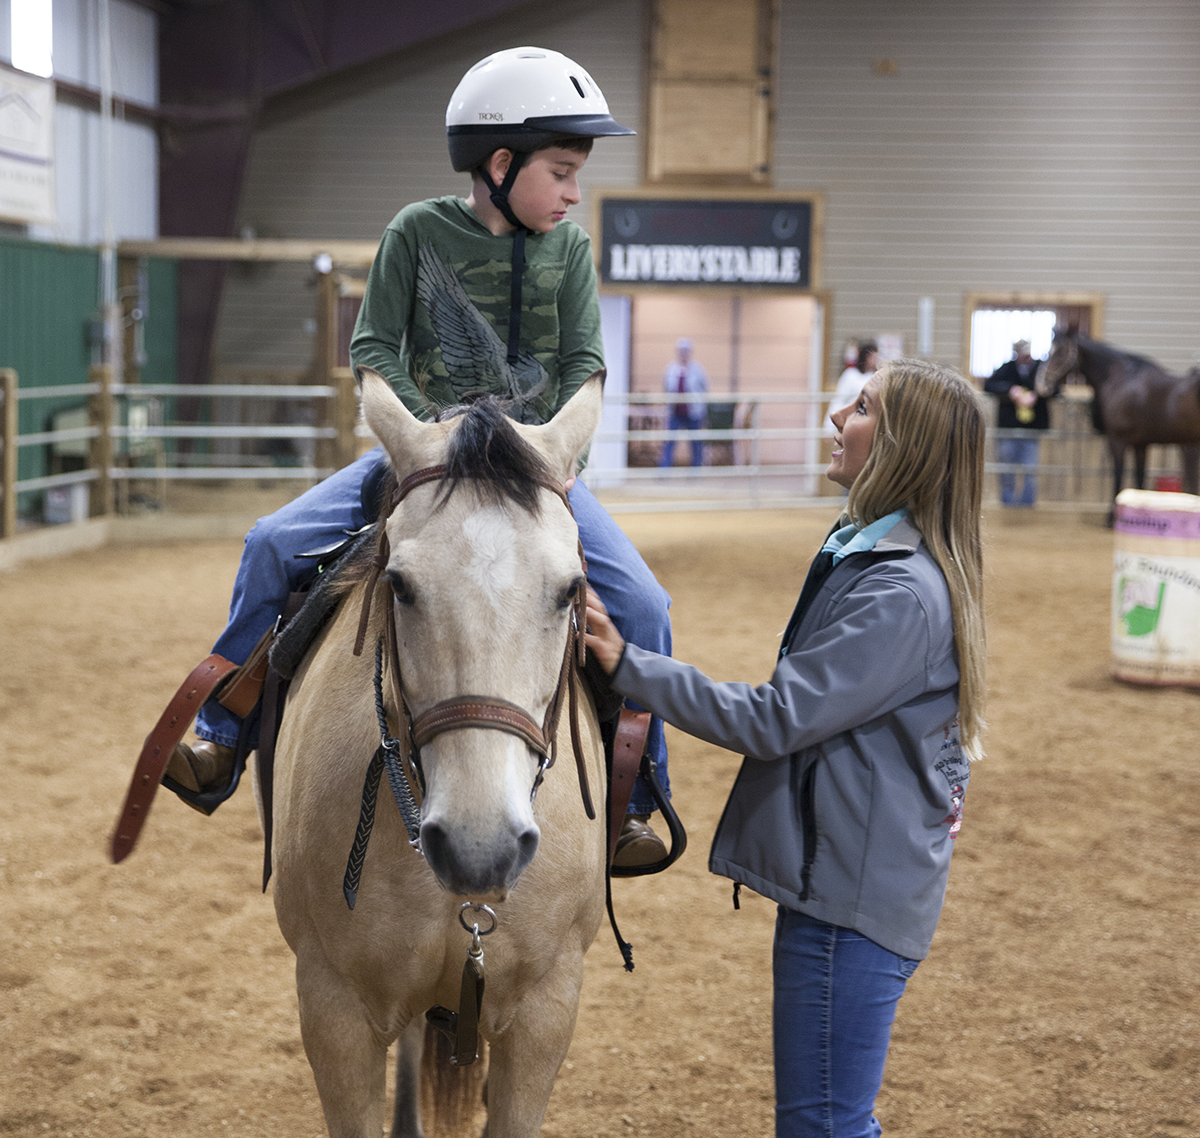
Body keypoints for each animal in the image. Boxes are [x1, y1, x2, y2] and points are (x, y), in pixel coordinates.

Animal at [1032, 326, 1200, 508]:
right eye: (1049, 351)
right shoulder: (1140, 444)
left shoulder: (1117, 440)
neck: (1120, 379)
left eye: (1062, 352)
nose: (1041, 384)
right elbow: (1139, 480)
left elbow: (1118, 477)